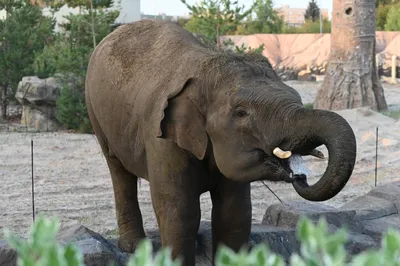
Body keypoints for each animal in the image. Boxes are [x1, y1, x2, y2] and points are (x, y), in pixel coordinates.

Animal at [84, 19, 356, 266]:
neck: (202, 71)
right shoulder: (161, 139)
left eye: (297, 96)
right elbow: (179, 211)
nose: (300, 177)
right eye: (241, 113)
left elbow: (233, 213)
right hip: (96, 114)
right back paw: (133, 247)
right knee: (119, 172)